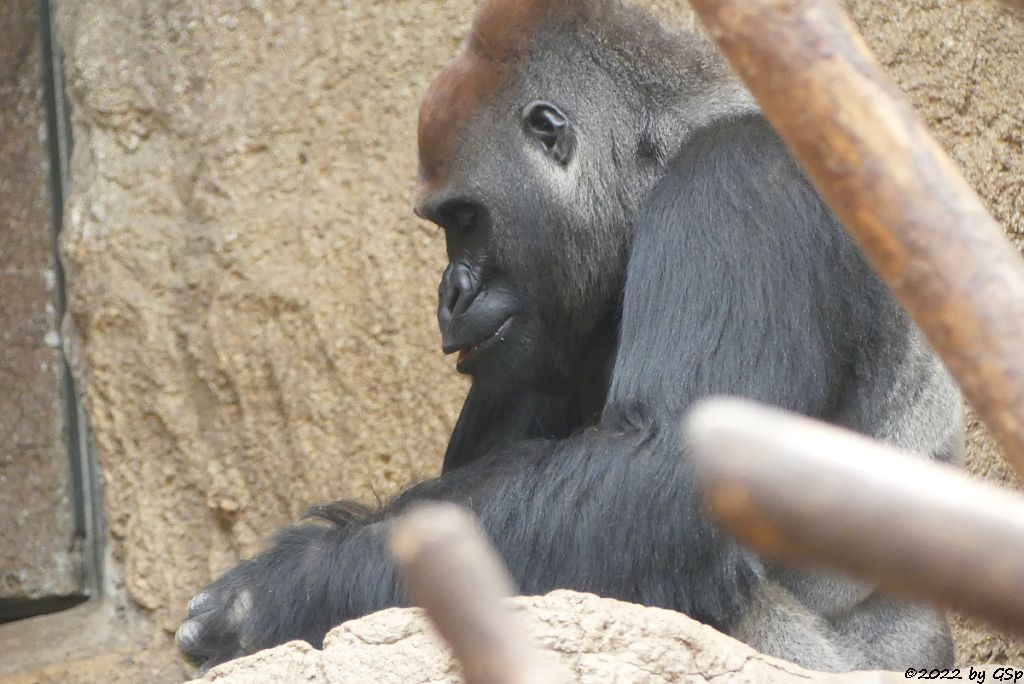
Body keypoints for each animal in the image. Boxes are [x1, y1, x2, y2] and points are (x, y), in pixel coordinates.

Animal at [178, 0, 966, 671]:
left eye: (465, 219)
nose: (449, 297)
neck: (669, 143)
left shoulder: (740, 182)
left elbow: (670, 469)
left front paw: (278, 589)